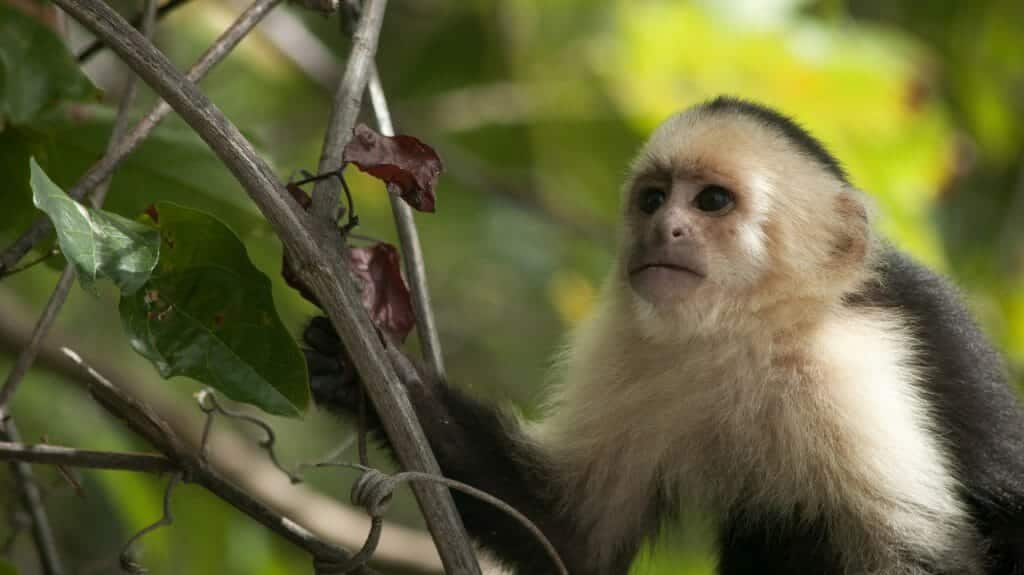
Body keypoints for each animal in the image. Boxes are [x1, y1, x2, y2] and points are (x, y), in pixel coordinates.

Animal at [303, 96, 1024, 574]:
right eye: (652, 199)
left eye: (711, 202)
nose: (661, 230)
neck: (747, 333)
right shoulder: (635, 349)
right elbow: (571, 532)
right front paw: (361, 366)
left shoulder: (850, 363)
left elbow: (916, 555)